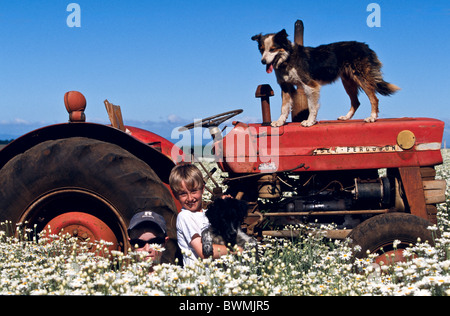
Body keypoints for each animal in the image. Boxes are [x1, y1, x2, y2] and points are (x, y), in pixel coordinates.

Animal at [251, 29, 400, 127]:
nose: (263, 61)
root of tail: (365, 46)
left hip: (361, 77)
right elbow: (284, 107)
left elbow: (312, 106)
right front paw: (280, 122)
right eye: (261, 49)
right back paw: (346, 117)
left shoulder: (310, 85)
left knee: (374, 98)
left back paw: (372, 118)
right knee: (356, 102)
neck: (288, 58)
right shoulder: (285, 86)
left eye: (272, 49)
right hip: (348, 81)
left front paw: (309, 122)